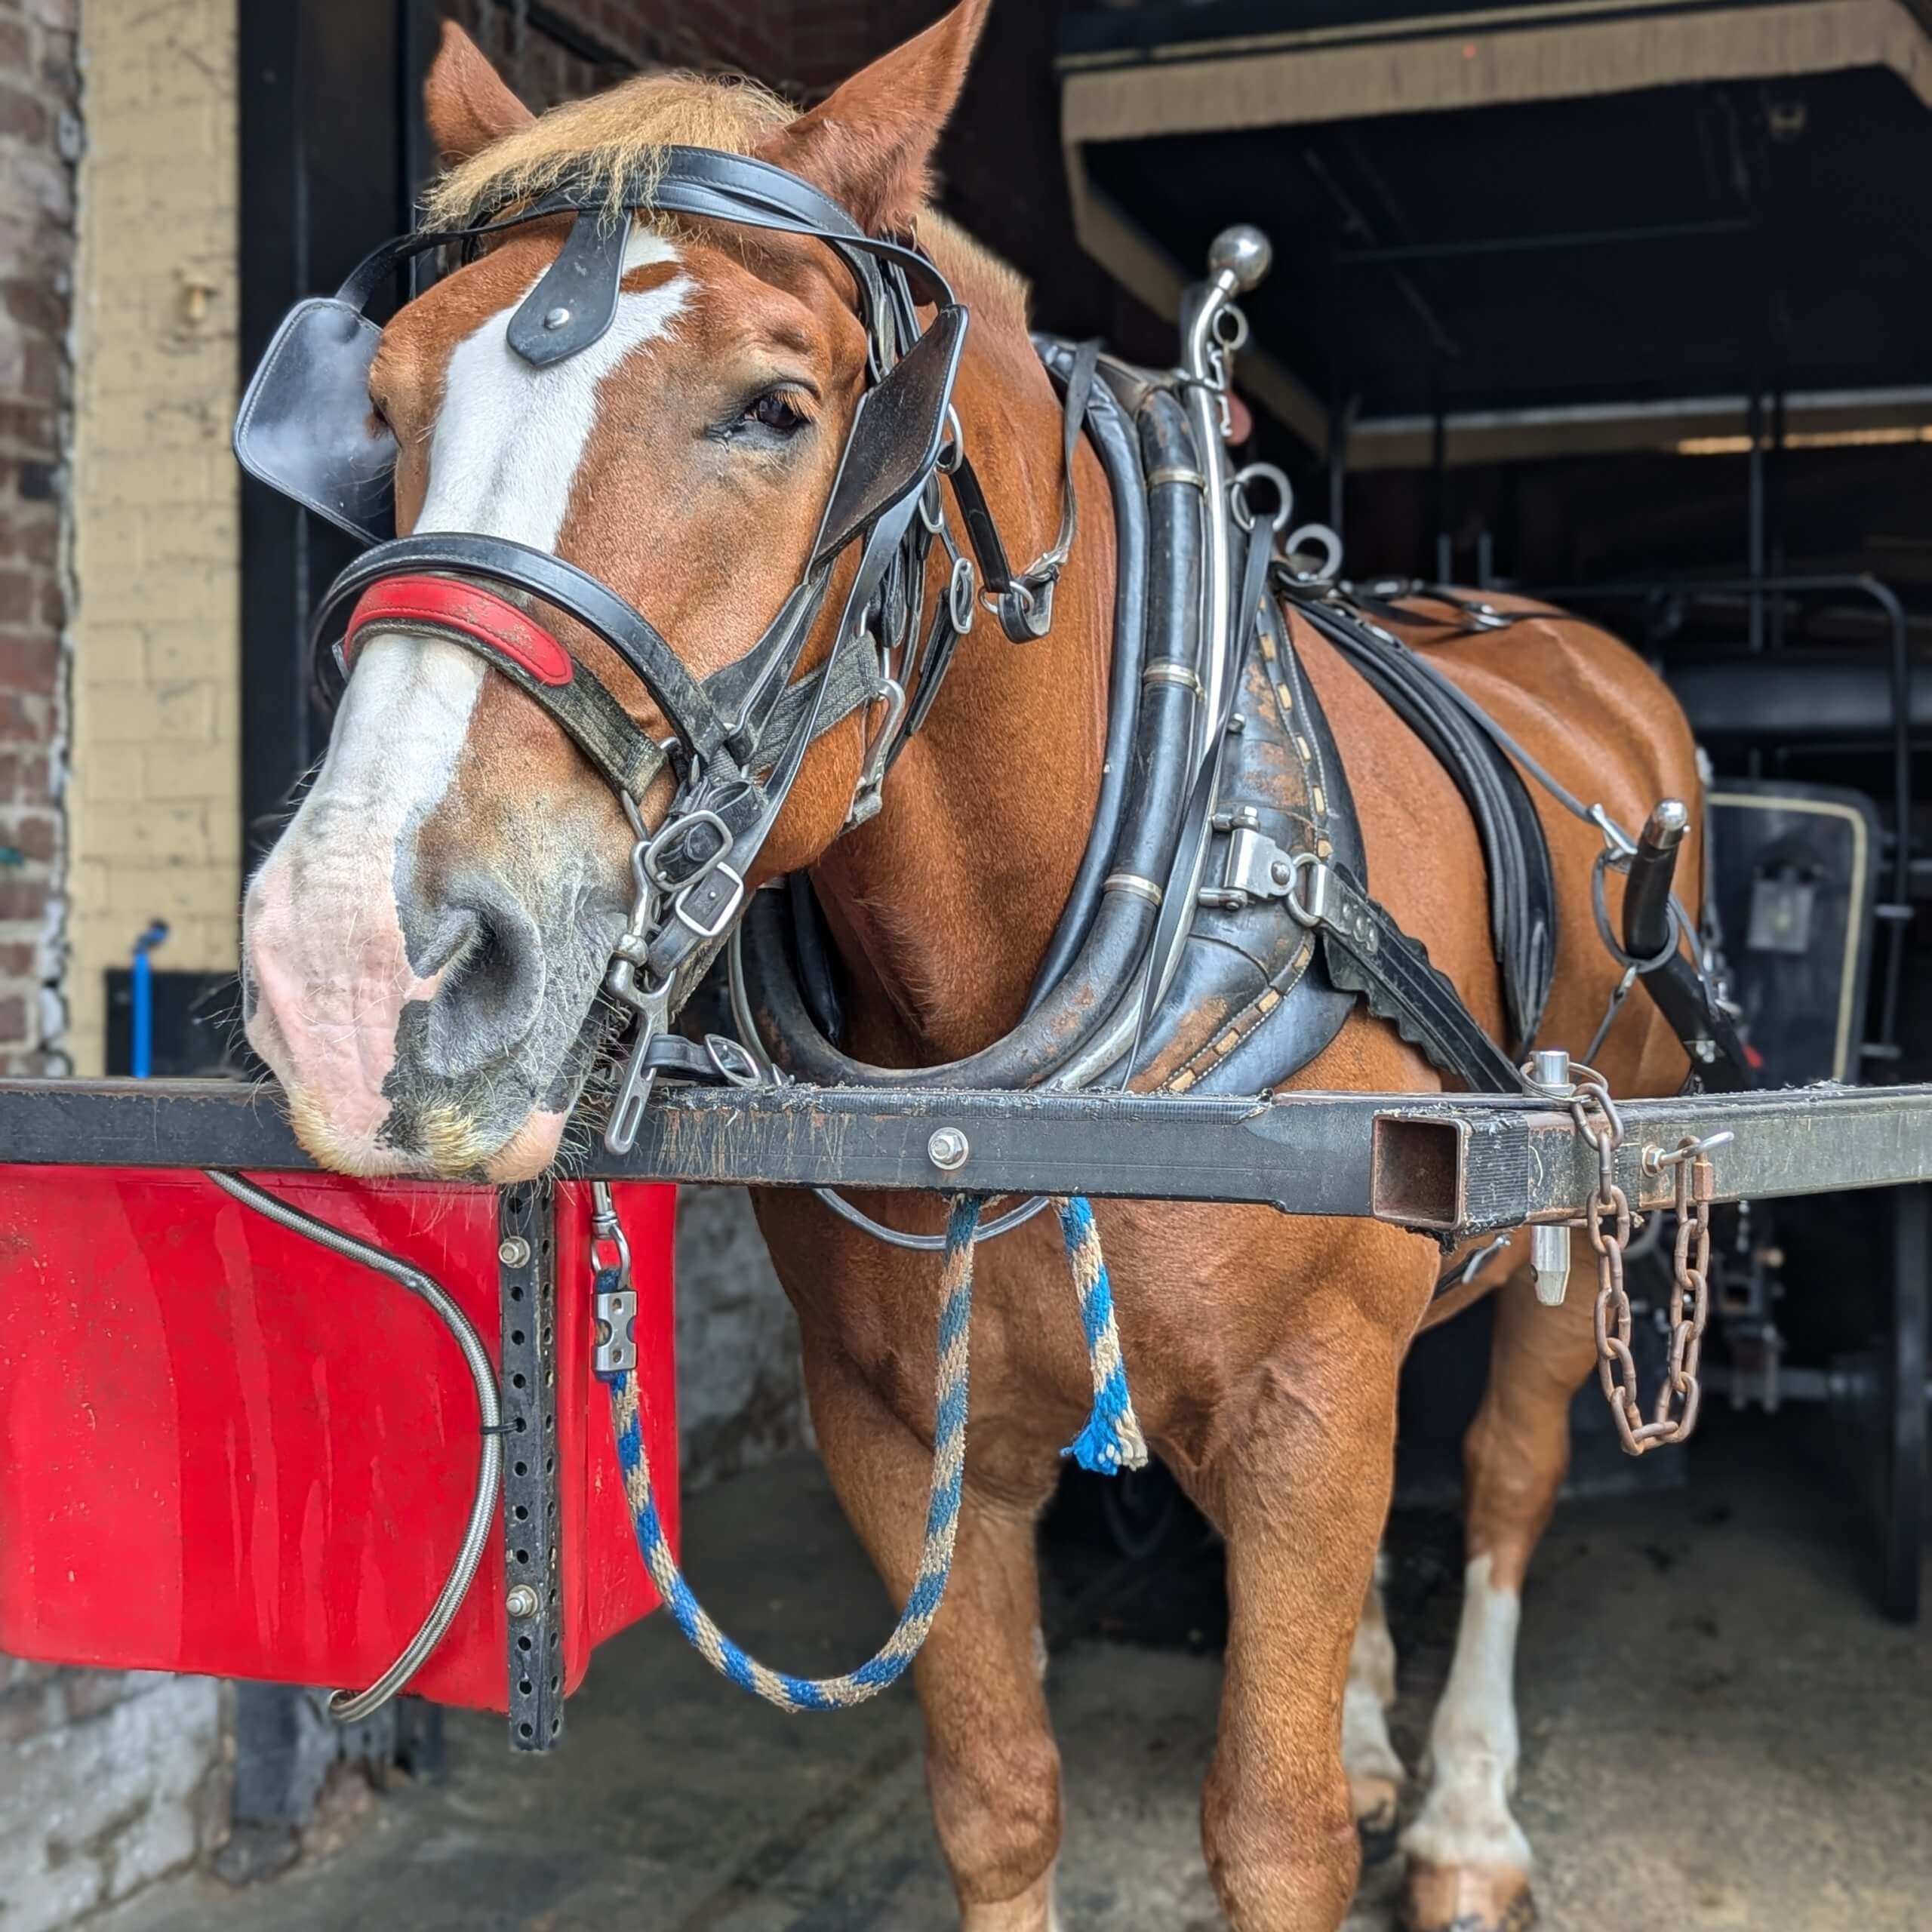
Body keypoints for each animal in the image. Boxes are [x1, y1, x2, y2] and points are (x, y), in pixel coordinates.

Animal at [245, 8, 1708, 1924]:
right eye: (391, 406)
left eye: (780, 408)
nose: (351, 968)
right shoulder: (893, 1425)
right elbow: (1000, 1795)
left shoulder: (1309, 1395)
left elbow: (1273, 1827)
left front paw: (1374, 1798)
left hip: (1575, 1206)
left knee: (1503, 1478)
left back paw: (1463, 1807)